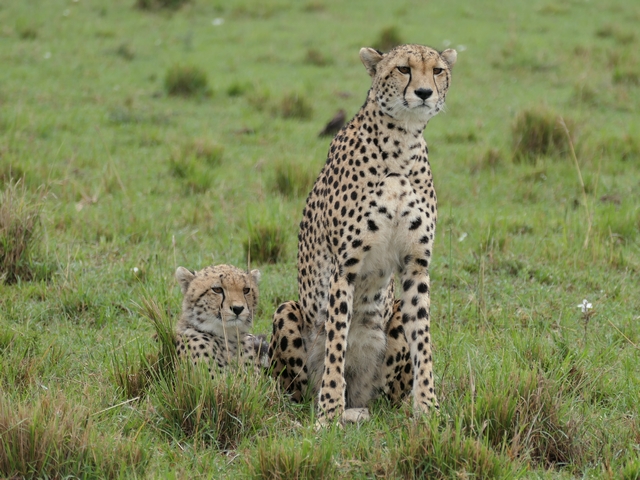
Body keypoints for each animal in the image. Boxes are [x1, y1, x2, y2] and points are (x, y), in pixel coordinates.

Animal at [269, 44, 457, 425]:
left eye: (438, 70)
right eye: (403, 69)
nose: (424, 93)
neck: (402, 142)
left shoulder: (416, 266)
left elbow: (423, 341)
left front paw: (428, 407)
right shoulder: (345, 267)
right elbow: (336, 345)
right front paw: (329, 413)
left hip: (390, 328)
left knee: (383, 396)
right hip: (288, 312)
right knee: (300, 387)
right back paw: (338, 407)